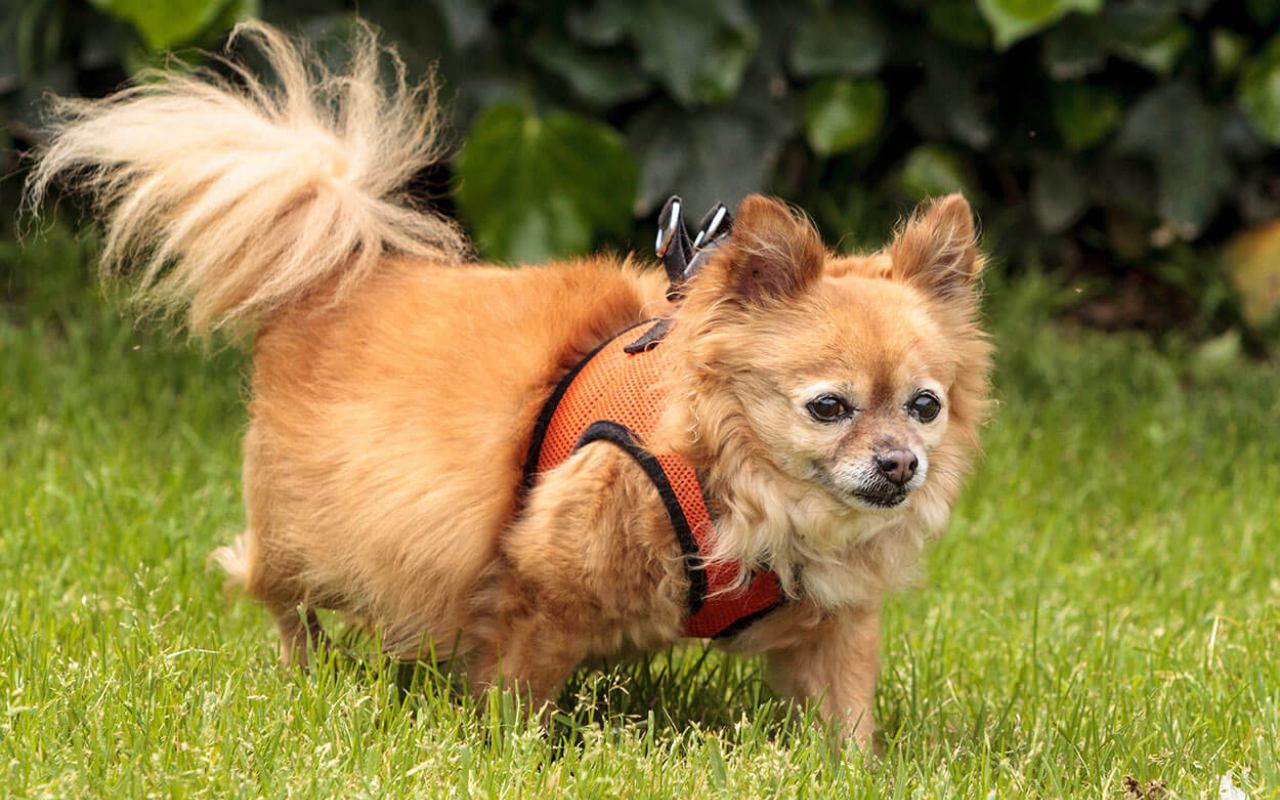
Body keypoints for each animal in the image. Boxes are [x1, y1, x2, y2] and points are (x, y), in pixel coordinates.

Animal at [27, 23, 988, 747]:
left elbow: (843, 708)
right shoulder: (539, 588)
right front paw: (509, 752)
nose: (900, 464)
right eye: (828, 408)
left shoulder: (833, 627)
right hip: (310, 537)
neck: (738, 485)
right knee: (274, 594)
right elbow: (514, 688)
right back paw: (308, 676)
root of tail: (338, 273)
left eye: (924, 408)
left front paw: (852, 769)